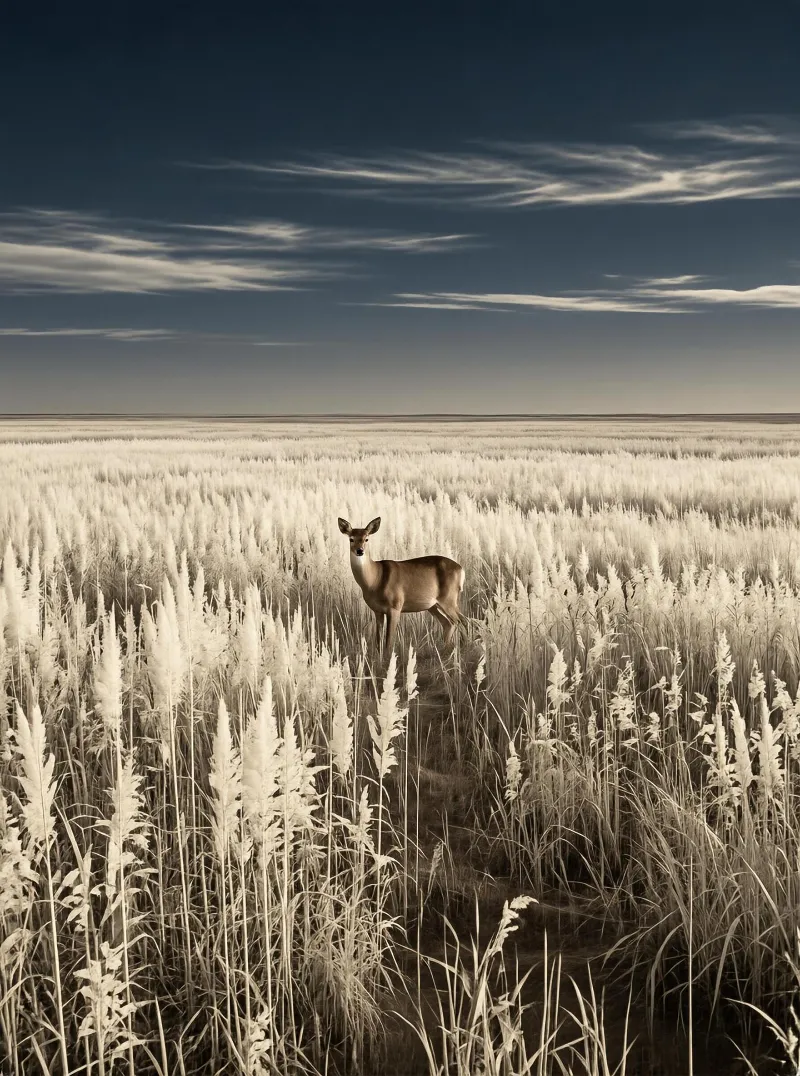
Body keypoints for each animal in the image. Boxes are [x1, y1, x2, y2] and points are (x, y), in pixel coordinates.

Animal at [338, 516, 465, 655]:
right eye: (351, 539)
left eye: (366, 538)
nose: (360, 550)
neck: (375, 580)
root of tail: (461, 569)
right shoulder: (377, 610)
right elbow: (378, 640)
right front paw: (378, 657)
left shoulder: (395, 606)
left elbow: (389, 641)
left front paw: (388, 658)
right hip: (433, 605)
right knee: (449, 623)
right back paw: (446, 651)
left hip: (449, 598)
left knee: (462, 621)